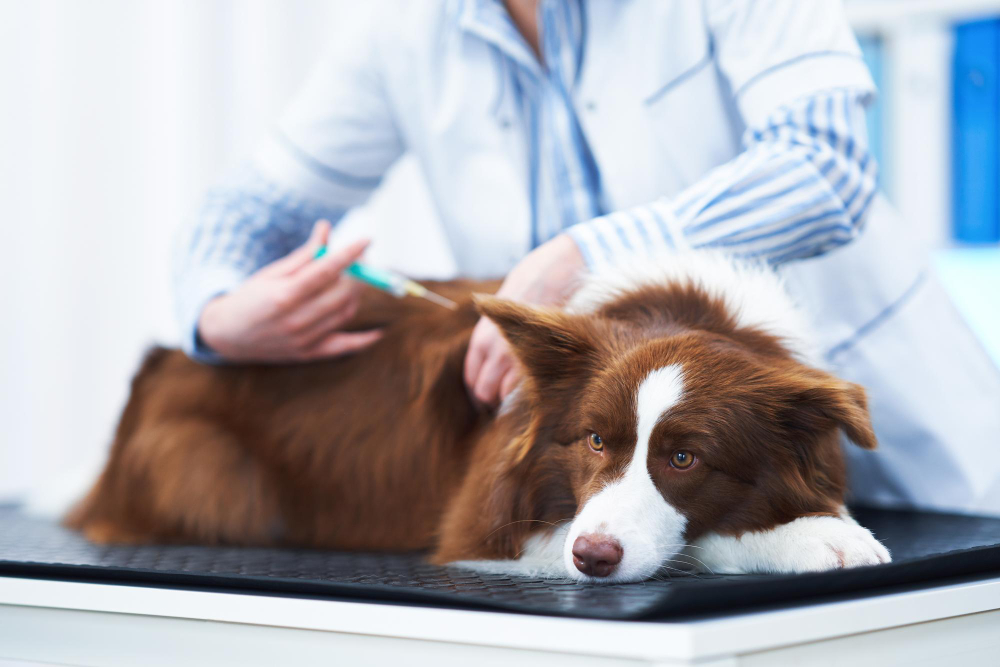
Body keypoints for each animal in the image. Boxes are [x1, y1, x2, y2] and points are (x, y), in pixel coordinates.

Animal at [70, 253, 892, 580]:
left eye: (685, 459)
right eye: (596, 440)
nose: (593, 559)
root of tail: (164, 360)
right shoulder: (483, 523)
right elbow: (700, 541)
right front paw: (817, 537)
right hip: (210, 473)